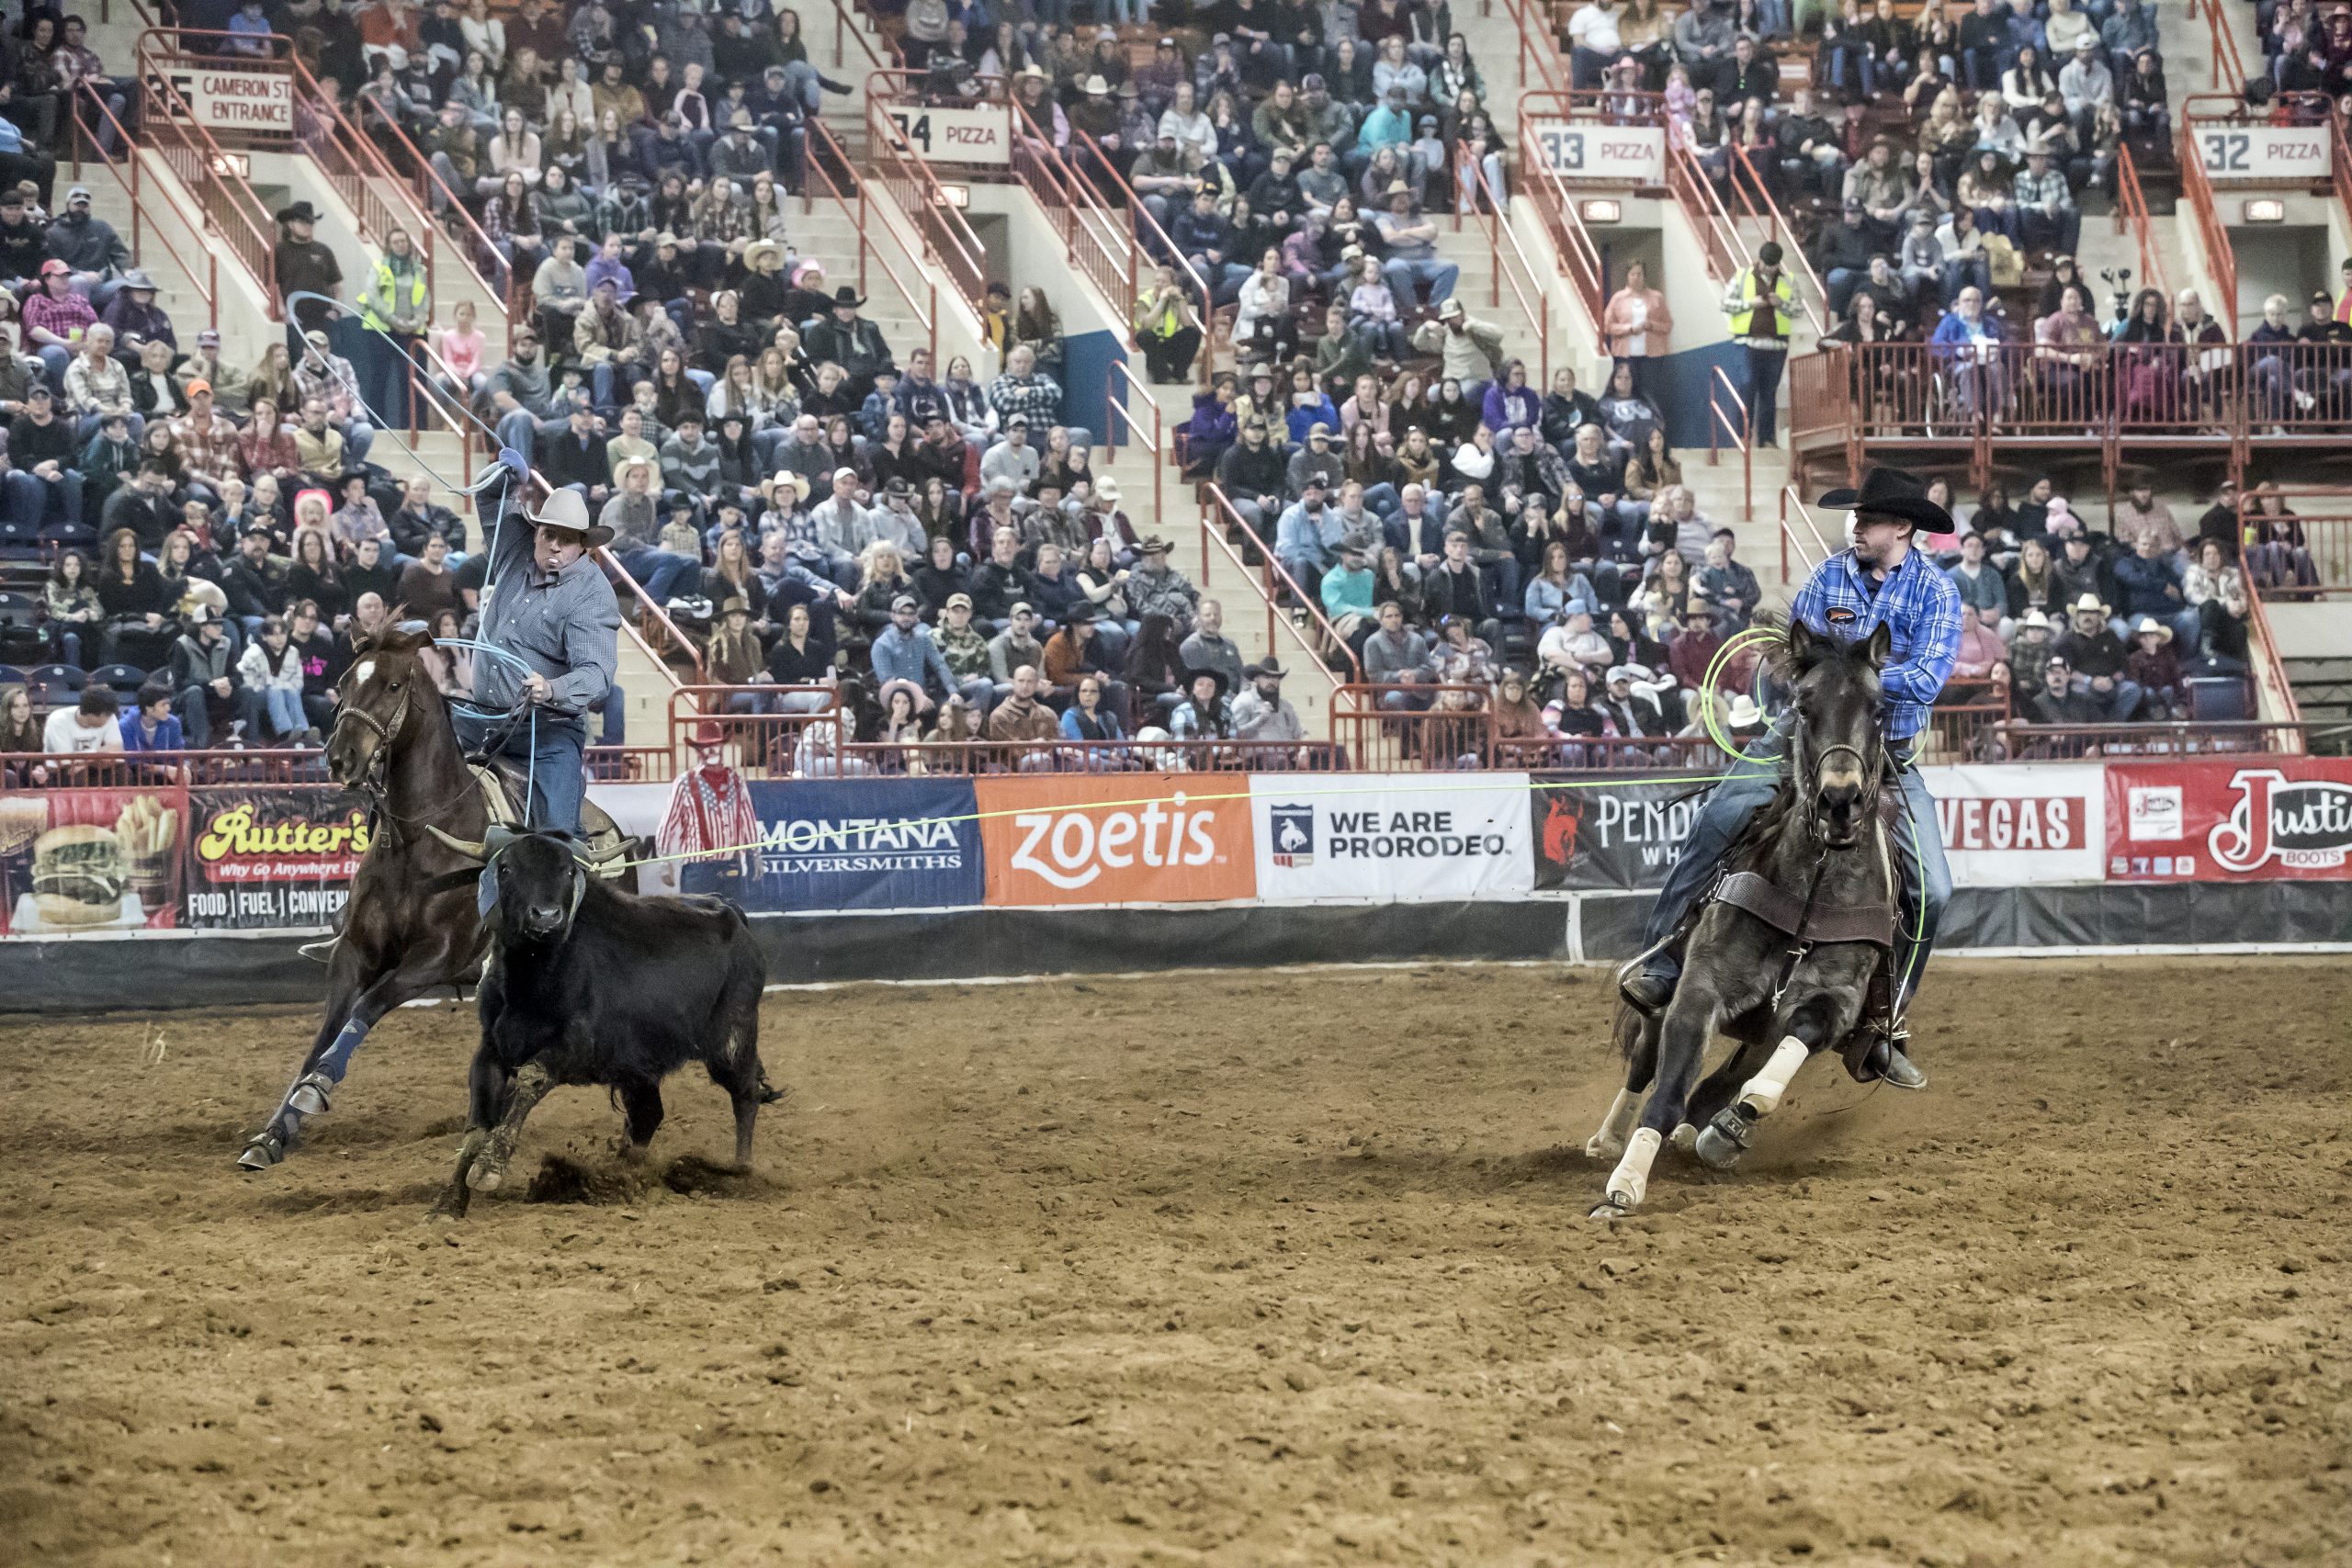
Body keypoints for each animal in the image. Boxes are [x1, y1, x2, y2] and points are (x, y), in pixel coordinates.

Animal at [1571, 620, 1900, 1222]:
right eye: (1802, 705)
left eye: (1880, 708)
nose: (1839, 800)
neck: (1810, 895)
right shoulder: (1699, 990)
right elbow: (1666, 1091)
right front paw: (1623, 1187)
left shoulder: (1833, 1005)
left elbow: (1766, 1077)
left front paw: (1726, 1130)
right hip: (1662, 997)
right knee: (1644, 1065)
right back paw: (1608, 1140)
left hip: (1756, 1035)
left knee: (1722, 1082)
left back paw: (1699, 1130)